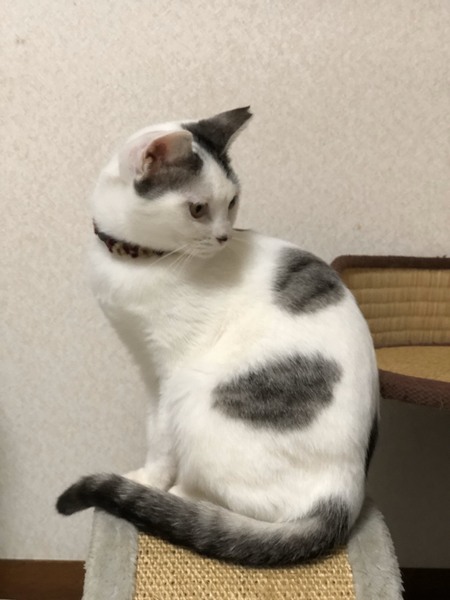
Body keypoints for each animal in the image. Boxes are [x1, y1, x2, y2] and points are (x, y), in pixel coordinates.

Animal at [56, 107, 379, 567]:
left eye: (231, 202)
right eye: (197, 208)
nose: (224, 236)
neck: (142, 262)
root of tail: (344, 493)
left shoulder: (170, 371)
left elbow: (161, 437)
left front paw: (150, 480)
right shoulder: (148, 367)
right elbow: (152, 422)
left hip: (197, 397)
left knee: (239, 504)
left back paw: (177, 498)